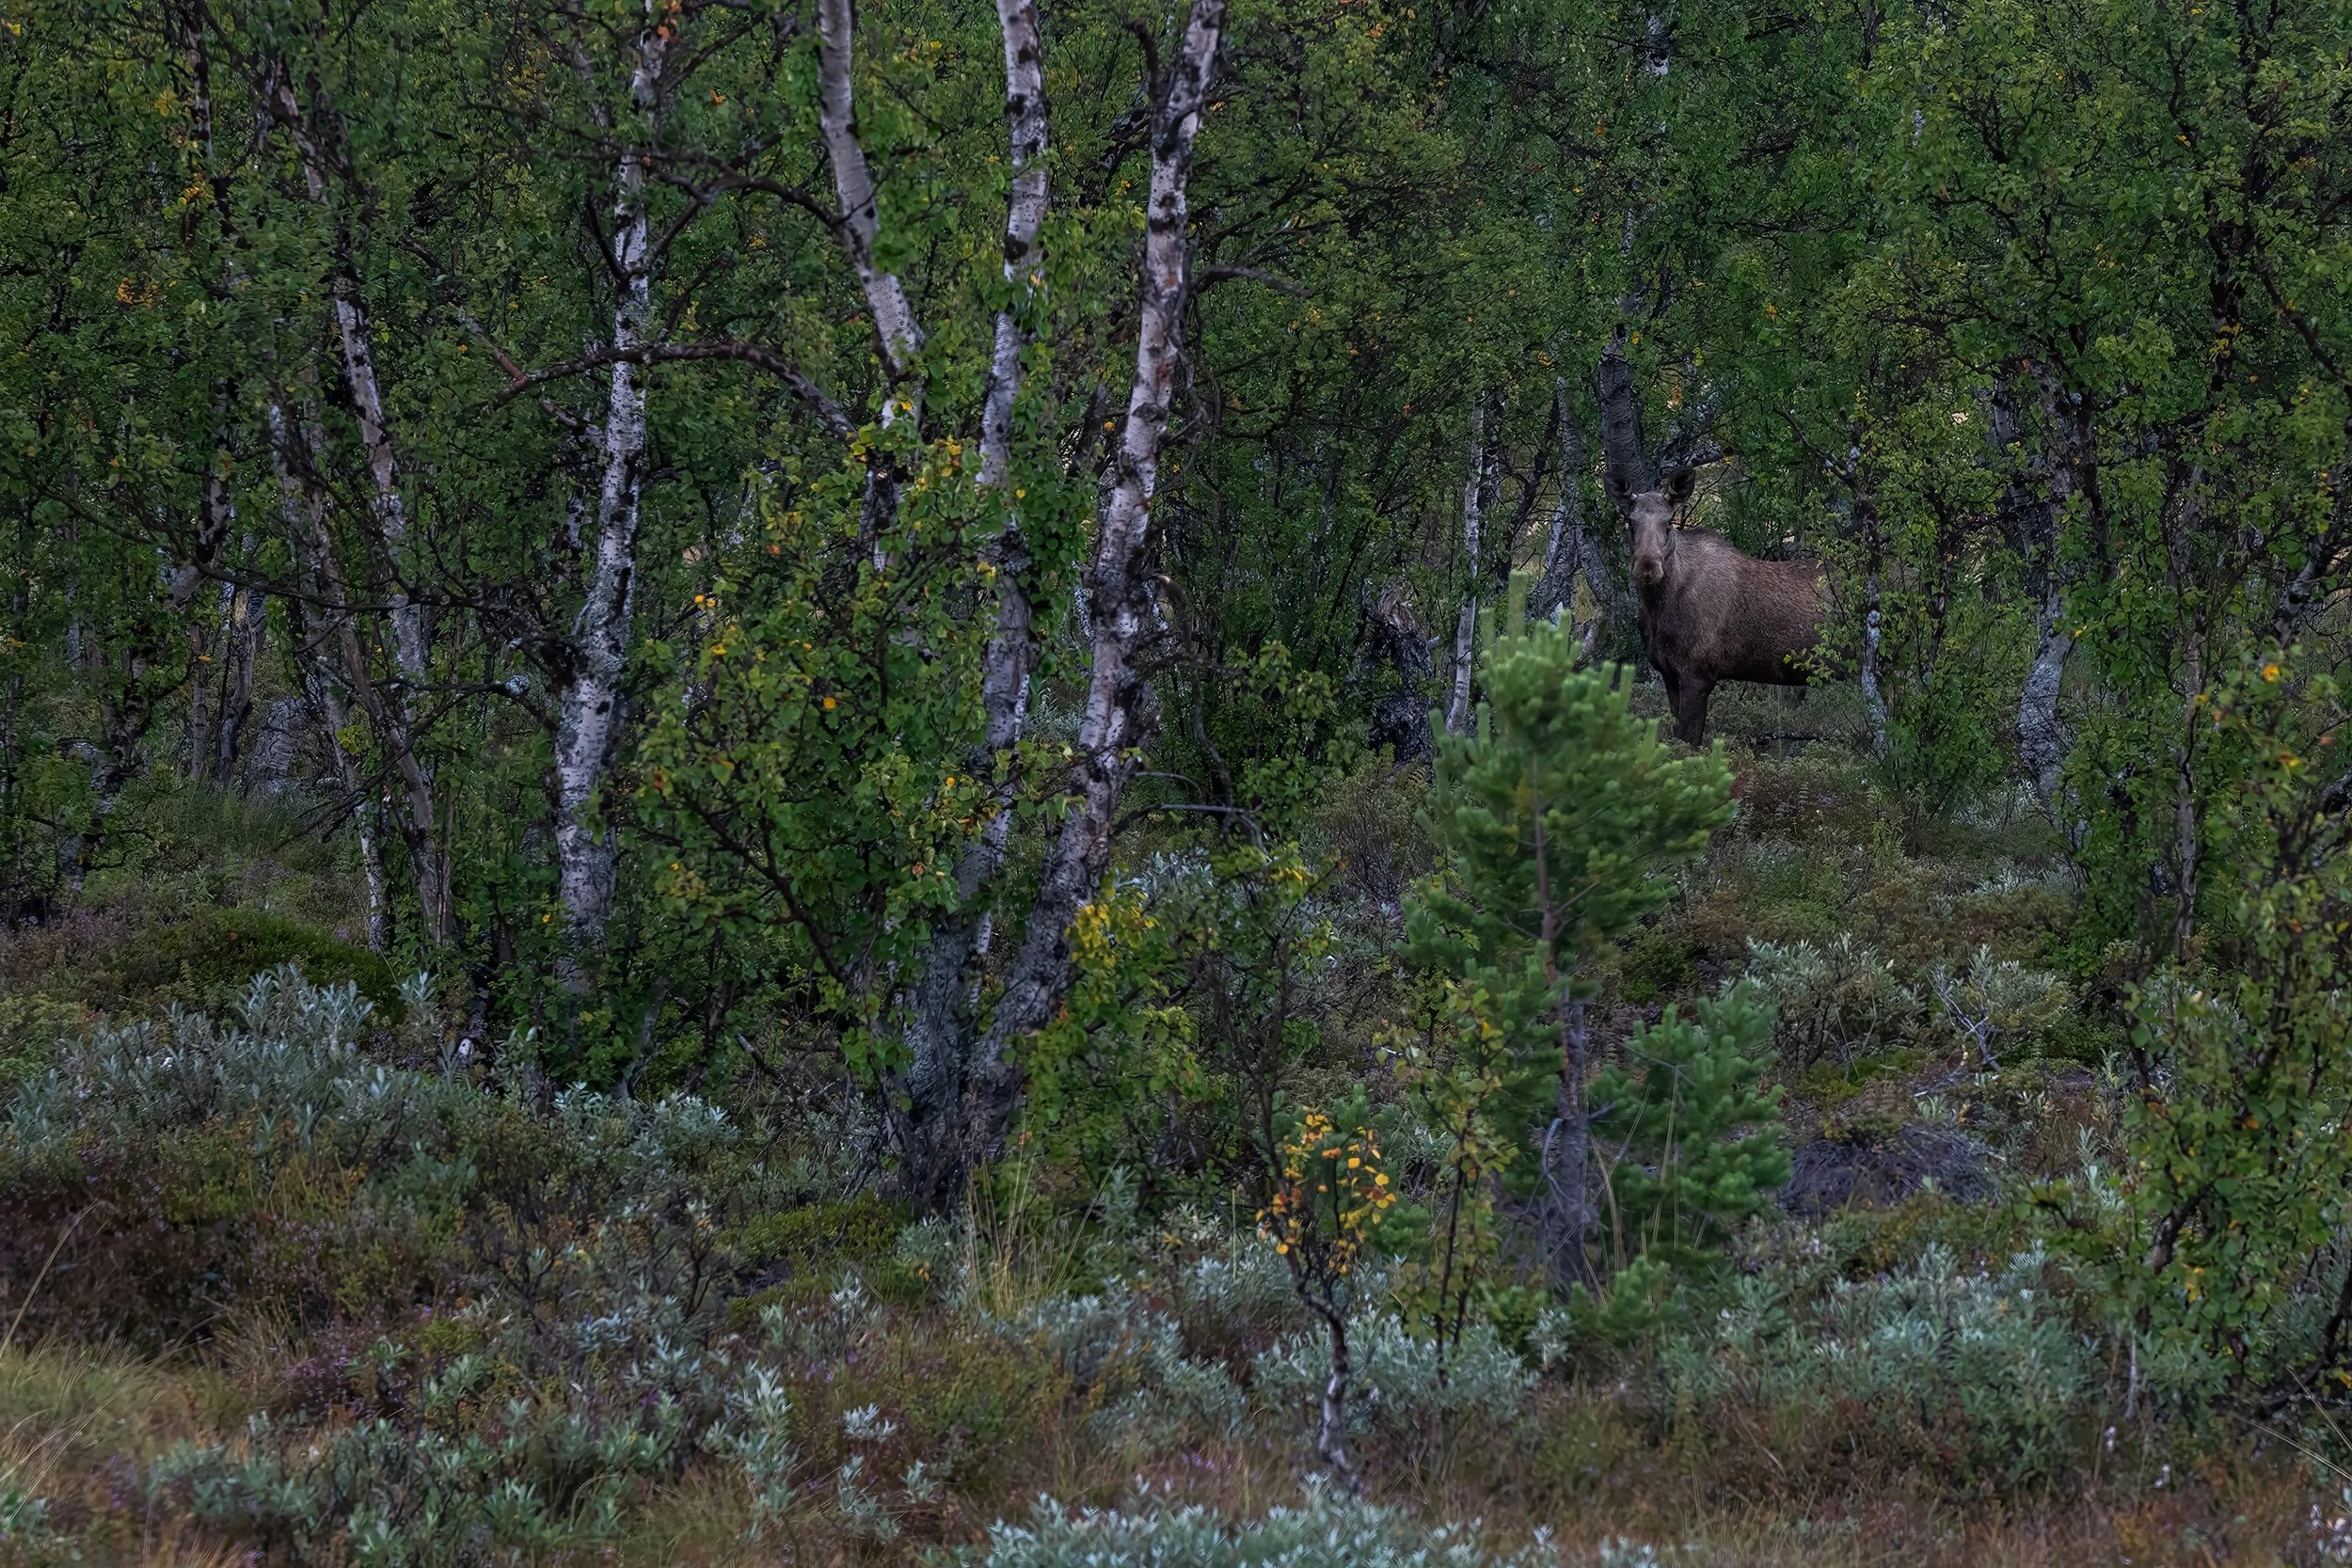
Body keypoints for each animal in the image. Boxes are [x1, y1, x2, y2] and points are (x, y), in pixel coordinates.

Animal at [1611, 468, 1827, 745]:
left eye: (1668, 522)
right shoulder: (1669, 674)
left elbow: (1688, 742)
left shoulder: (1698, 674)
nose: (1647, 567)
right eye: (1630, 522)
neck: (1658, 610)